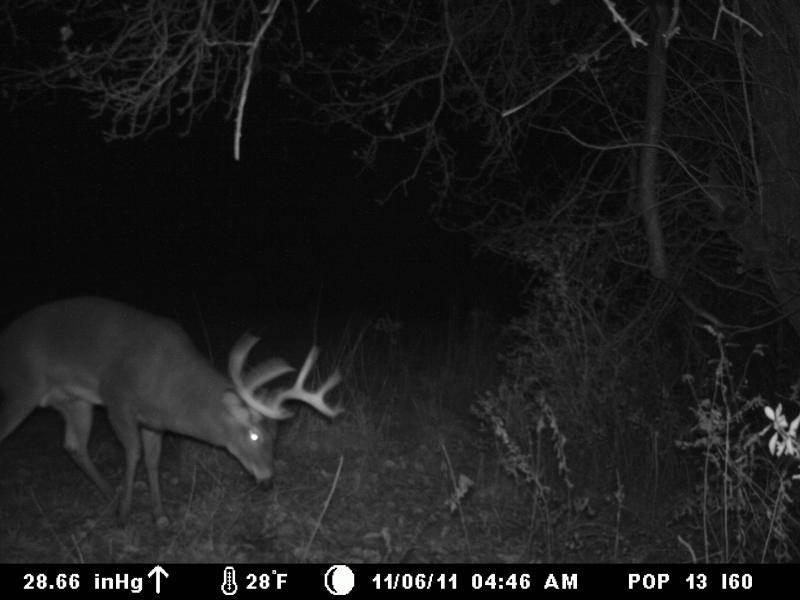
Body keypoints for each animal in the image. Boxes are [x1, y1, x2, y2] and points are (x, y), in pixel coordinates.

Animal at [0, 297, 342, 527]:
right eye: (254, 435)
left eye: (276, 437)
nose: (267, 480)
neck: (167, 382)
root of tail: (7, 336)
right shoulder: (117, 400)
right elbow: (133, 454)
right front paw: (126, 514)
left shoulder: (154, 422)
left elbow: (153, 461)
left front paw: (159, 515)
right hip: (22, 387)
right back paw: (114, 500)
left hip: (73, 401)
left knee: (73, 445)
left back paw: (110, 494)